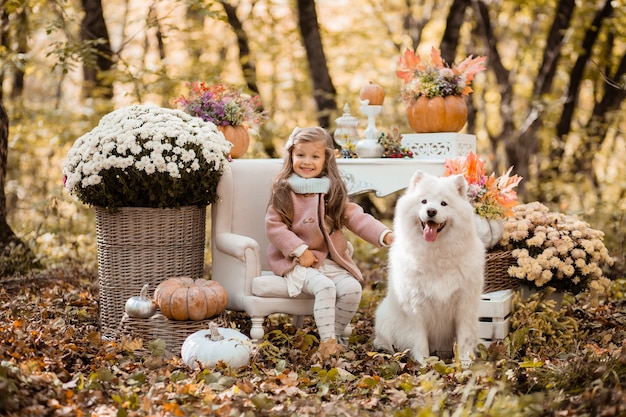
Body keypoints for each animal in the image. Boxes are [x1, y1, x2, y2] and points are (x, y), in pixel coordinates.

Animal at [372, 169, 486, 360]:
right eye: (423, 201)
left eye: (443, 203)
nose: (431, 211)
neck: (436, 254)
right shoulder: (415, 306)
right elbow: (419, 340)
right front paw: (425, 363)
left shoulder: (464, 304)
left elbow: (464, 338)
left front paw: (466, 363)